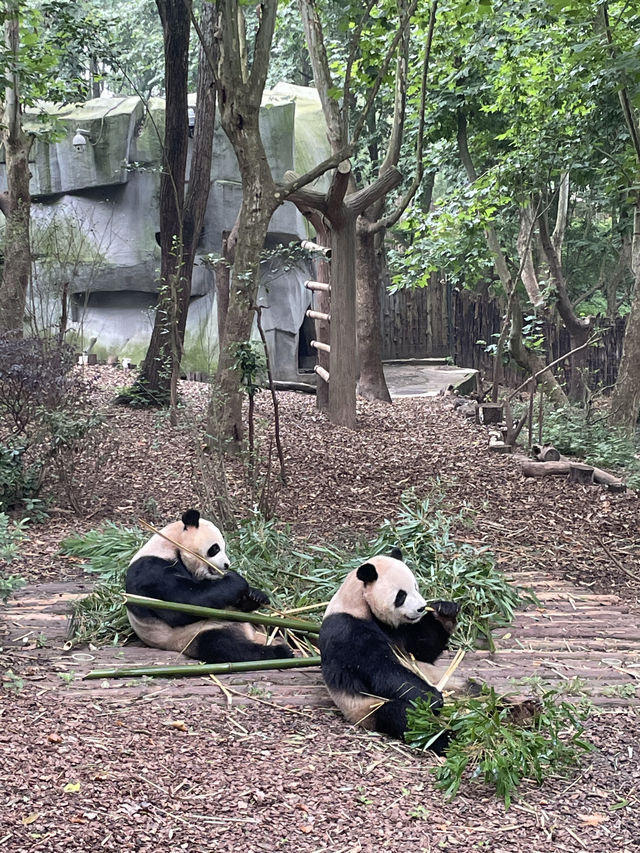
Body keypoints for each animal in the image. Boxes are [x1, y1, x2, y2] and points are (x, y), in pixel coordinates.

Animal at [124, 510, 292, 664]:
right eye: (215, 548)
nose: (226, 565)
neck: (169, 545)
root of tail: (253, 635)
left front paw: (256, 595)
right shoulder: (151, 572)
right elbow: (184, 604)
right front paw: (236, 579)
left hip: (258, 622)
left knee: (281, 628)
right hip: (194, 634)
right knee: (225, 646)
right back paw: (279, 651)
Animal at [320, 544, 460, 752]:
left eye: (416, 586)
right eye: (401, 595)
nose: (421, 608)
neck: (359, 602)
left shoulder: (399, 629)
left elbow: (421, 651)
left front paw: (445, 611)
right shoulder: (348, 630)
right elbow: (382, 671)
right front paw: (433, 697)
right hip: (368, 709)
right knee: (407, 716)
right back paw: (449, 738)